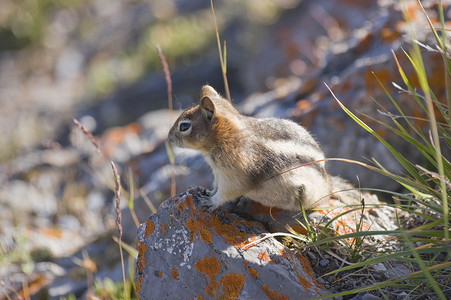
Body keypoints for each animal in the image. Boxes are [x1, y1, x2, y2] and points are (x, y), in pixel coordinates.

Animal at [168, 84, 334, 211]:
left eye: (184, 126)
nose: (169, 138)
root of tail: (328, 185)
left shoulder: (236, 176)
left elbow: (225, 193)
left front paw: (210, 201)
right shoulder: (219, 173)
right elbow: (216, 187)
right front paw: (208, 192)